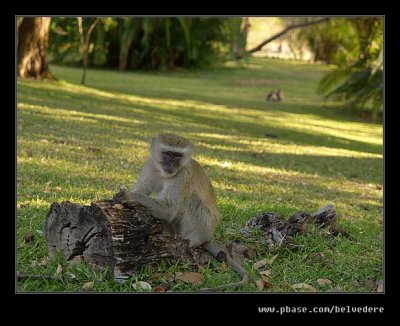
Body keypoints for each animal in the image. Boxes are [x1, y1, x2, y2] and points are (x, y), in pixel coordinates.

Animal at [116, 134, 247, 292]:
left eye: (177, 155)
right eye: (168, 153)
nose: (171, 164)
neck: (163, 173)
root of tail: (209, 236)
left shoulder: (183, 175)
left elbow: (169, 209)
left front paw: (129, 196)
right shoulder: (149, 166)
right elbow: (142, 190)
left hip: (204, 228)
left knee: (193, 201)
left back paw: (189, 242)